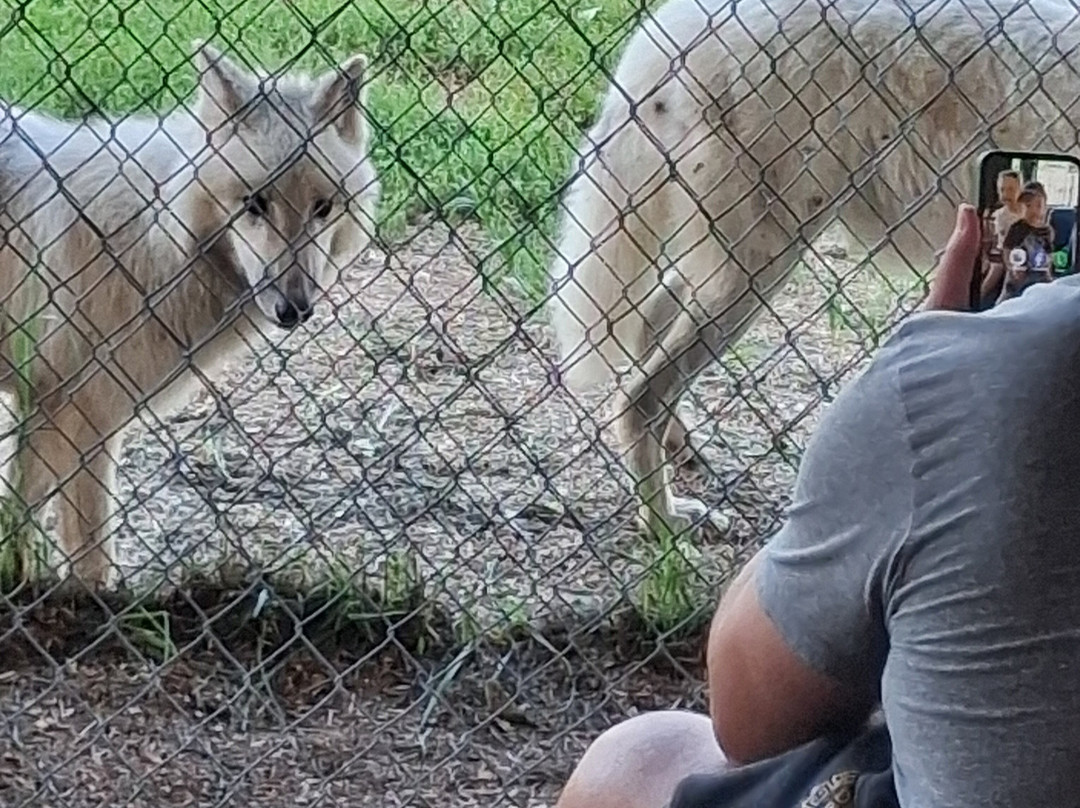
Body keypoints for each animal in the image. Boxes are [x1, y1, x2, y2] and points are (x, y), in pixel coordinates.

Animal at [0, 42, 380, 588]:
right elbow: (56, 540)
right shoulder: (66, 414)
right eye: (255, 204)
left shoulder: (93, 423)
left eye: (322, 208)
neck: (148, 236)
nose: (294, 309)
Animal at [547, 0, 1080, 539]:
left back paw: (683, 454)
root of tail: (671, 23)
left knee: (650, 321)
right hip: (764, 263)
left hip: (747, 260)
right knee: (640, 396)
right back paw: (665, 526)